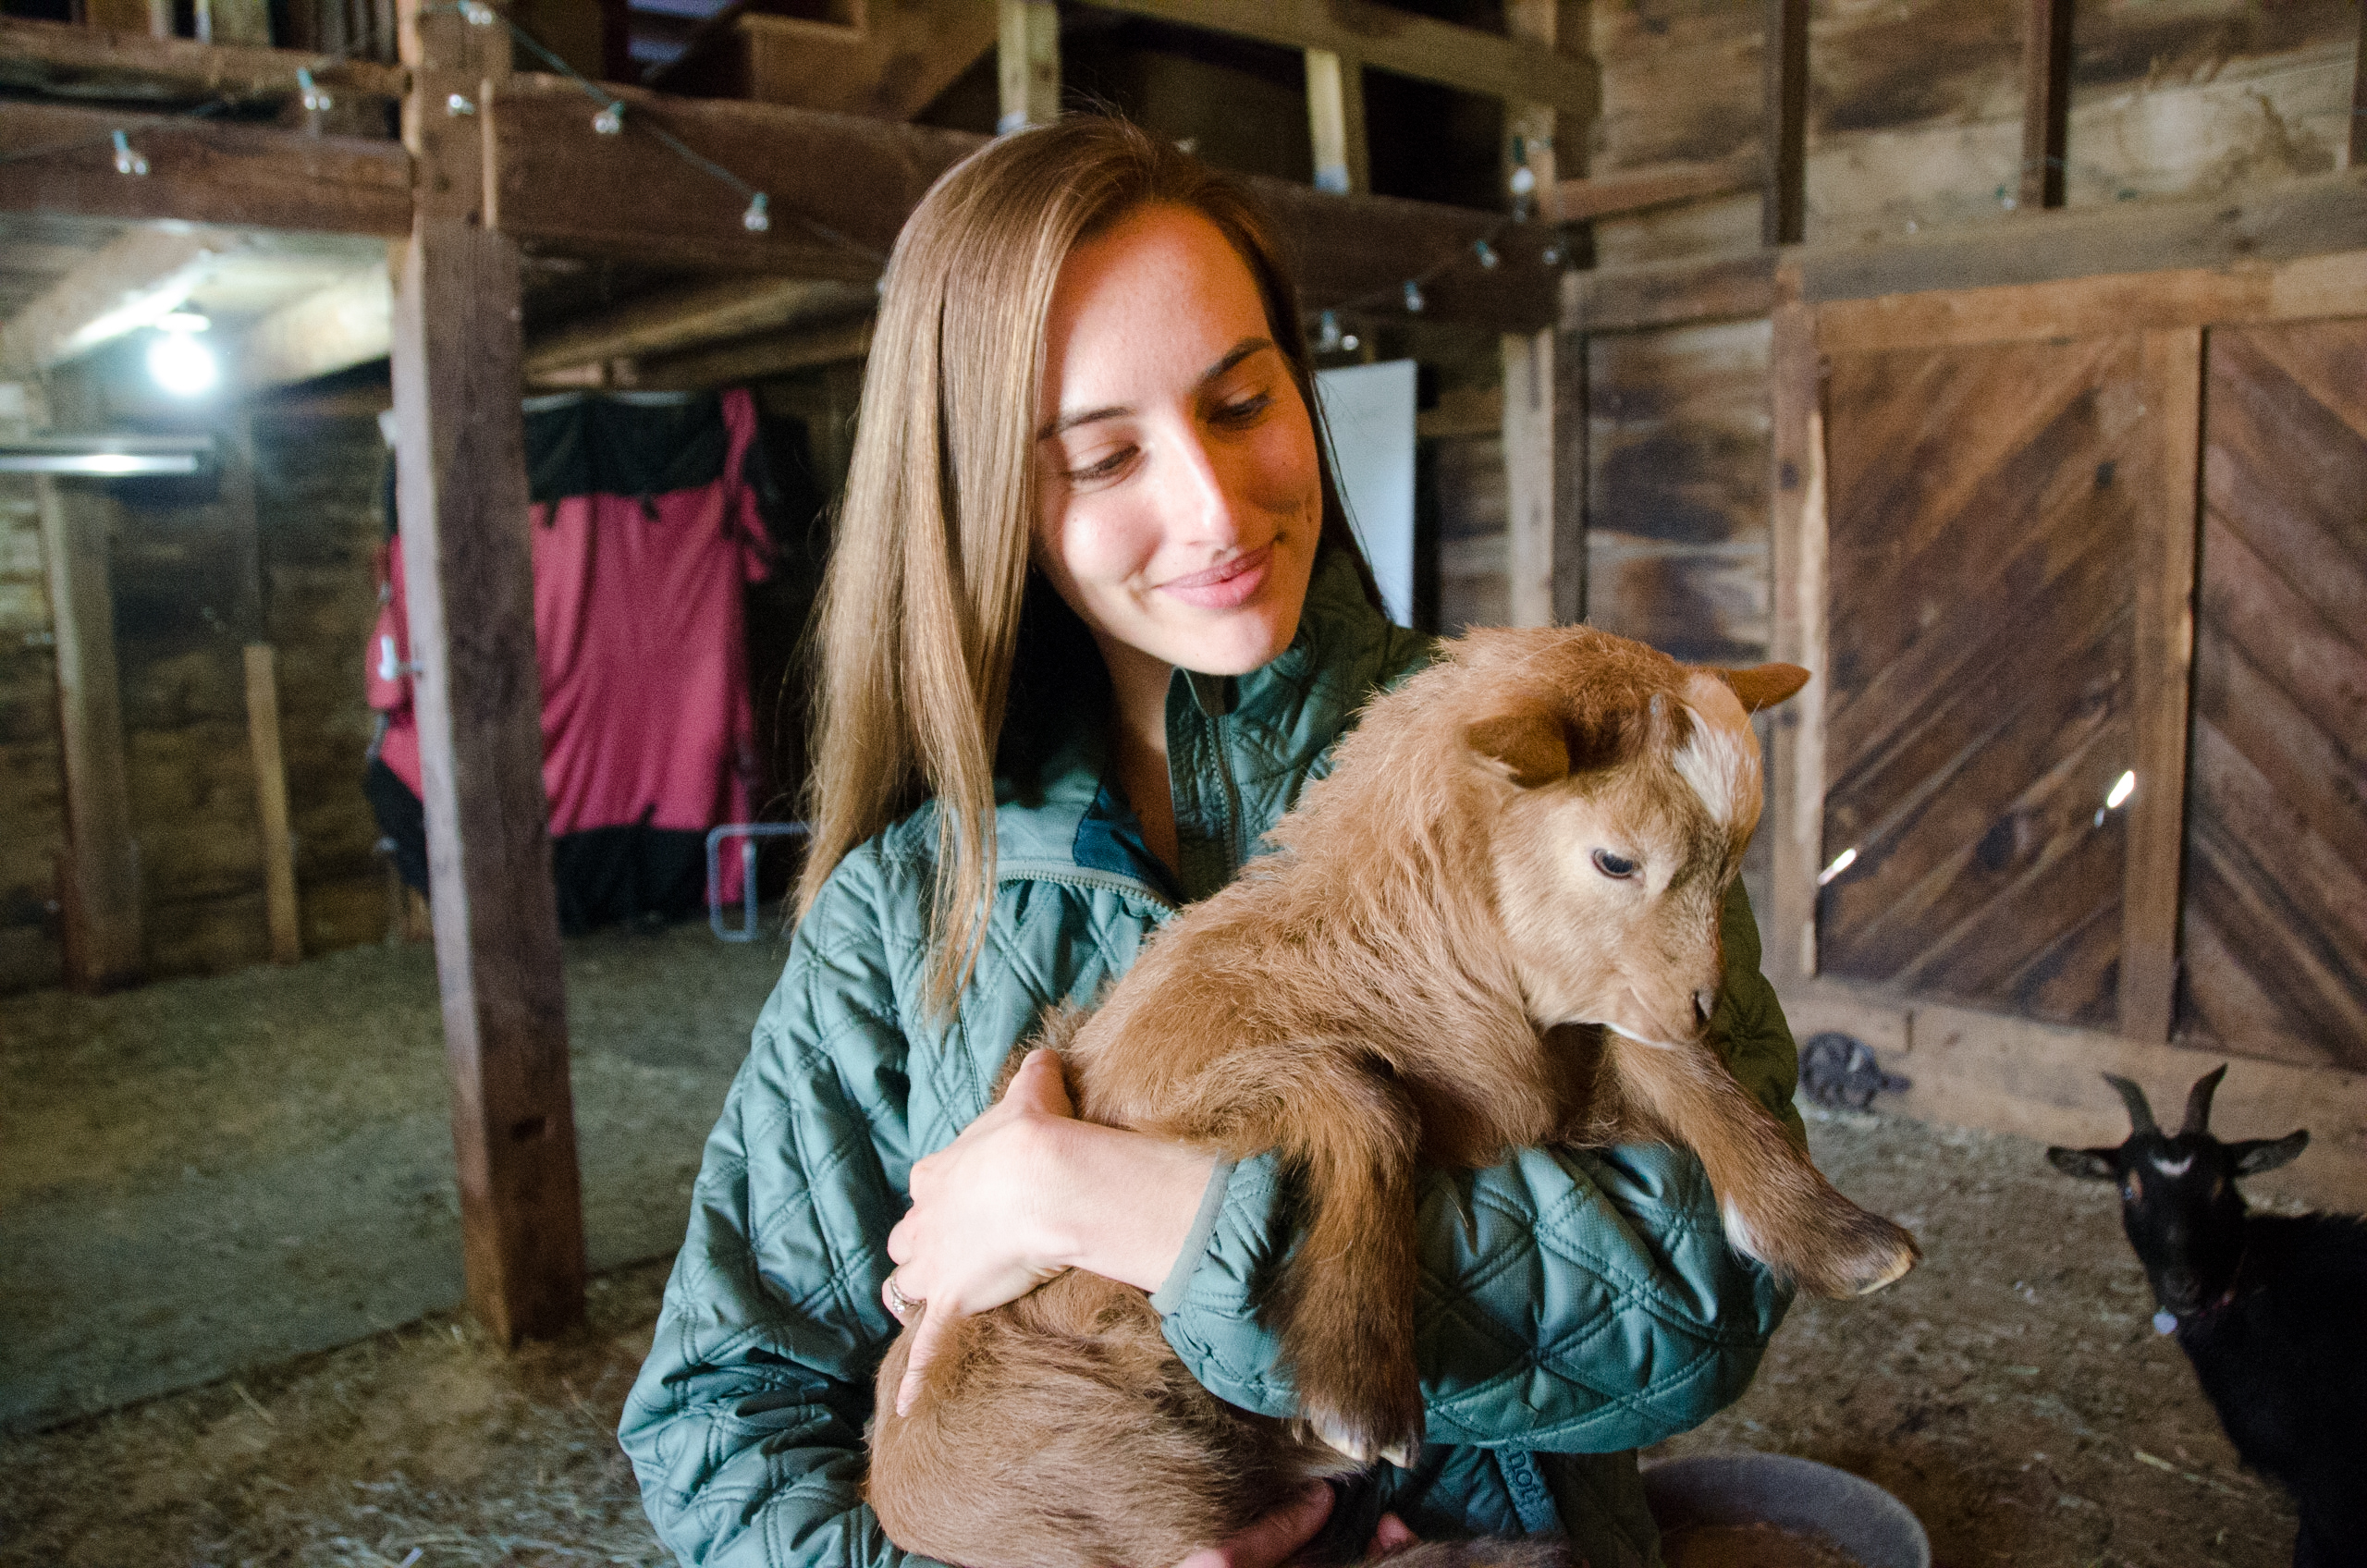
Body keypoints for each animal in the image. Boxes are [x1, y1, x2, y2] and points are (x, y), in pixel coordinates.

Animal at [871, 625, 1921, 1568]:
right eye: (1616, 860)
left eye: (1736, 855)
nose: (1704, 1003)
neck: (1385, 953)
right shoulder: (1175, 1087)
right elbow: (1362, 1095)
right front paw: (1357, 1383)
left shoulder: (1585, 1043)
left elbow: (1673, 1068)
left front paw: (1834, 1234)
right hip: (1121, 1487)